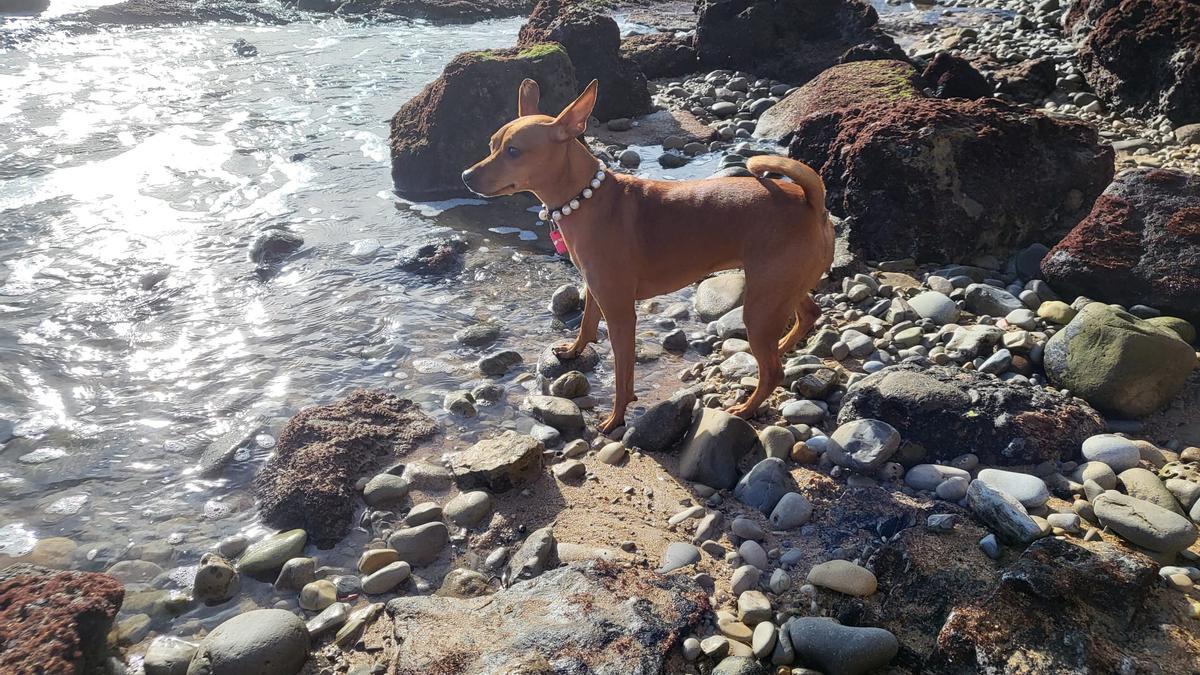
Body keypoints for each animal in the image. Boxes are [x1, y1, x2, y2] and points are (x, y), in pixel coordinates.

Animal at [460, 78, 835, 432]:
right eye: (492, 145)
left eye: (513, 151)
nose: (465, 175)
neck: (585, 199)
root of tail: (810, 201)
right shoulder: (595, 288)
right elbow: (586, 323)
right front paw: (573, 350)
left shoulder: (621, 313)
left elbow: (623, 374)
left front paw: (616, 417)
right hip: (781, 289)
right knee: (808, 315)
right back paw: (782, 346)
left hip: (761, 304)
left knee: (773, 371)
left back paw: (746, 407)